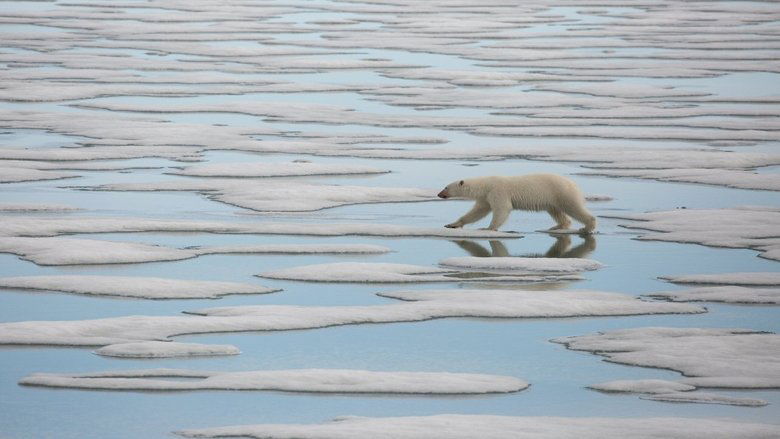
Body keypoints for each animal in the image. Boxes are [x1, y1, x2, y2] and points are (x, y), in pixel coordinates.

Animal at [438, 174, 596, 234]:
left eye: (445, 187)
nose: (439, 194)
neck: (486, 185)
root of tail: (574, 184)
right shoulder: (486, 197)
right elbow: (478, 211)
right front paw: (452, 224)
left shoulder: (498, 192)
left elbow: (502, 209)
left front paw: (488, 228)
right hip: (553, 199)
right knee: (557, 212)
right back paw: (557, 226)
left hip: (561, 192)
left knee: (573, 207)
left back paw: (587, 227)